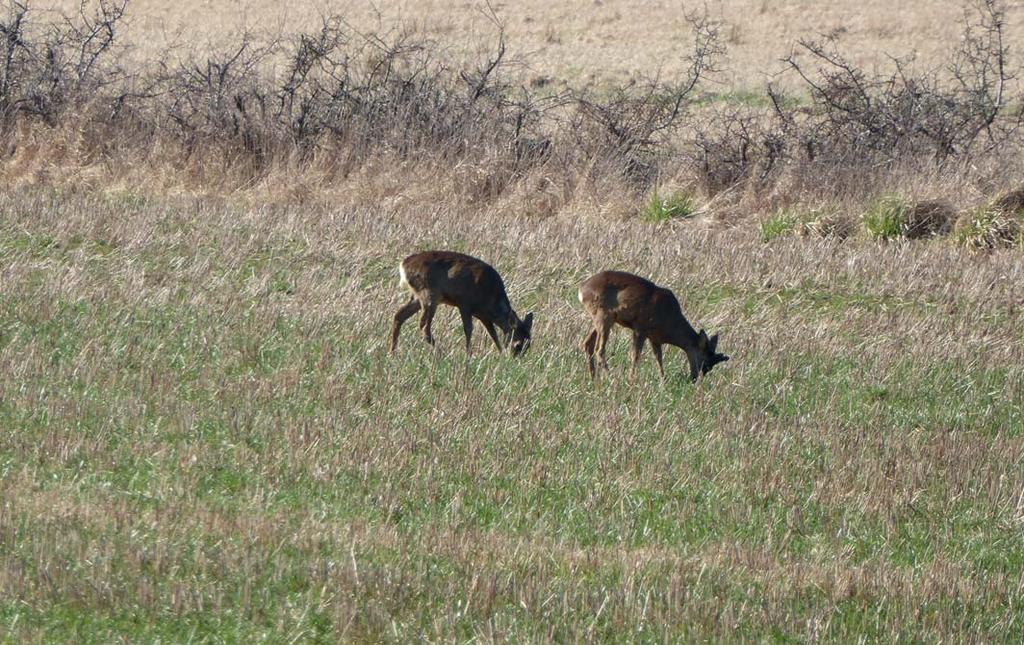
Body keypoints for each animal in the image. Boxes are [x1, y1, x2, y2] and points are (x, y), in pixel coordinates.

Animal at [389, 251, 536, 358]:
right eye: (517, 344)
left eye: (528, 344)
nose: (515, 359)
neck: (490, 298)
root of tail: (403, 265)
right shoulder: (465, 303)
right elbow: (468, 329)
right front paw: (469, 355)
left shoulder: (483, 315)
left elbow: (492, 333)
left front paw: (500, 353)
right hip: (429, 295)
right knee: (424, 325)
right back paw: (441, 352)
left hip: (417, 296)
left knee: (399, 315)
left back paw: (392, 352)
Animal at [577, 270, 729, 380]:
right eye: (705, 361)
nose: (694, 378)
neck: (669, 319)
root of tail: (582, 289)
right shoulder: (640, 328)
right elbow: (636, 355)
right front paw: (632, 379)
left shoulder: (654, 338)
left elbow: (658, 358)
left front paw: (662, 380)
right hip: (604, 316)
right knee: (599, 349)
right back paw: (611, 377)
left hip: (601, 319)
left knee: (587, 344)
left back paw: (594, 379)